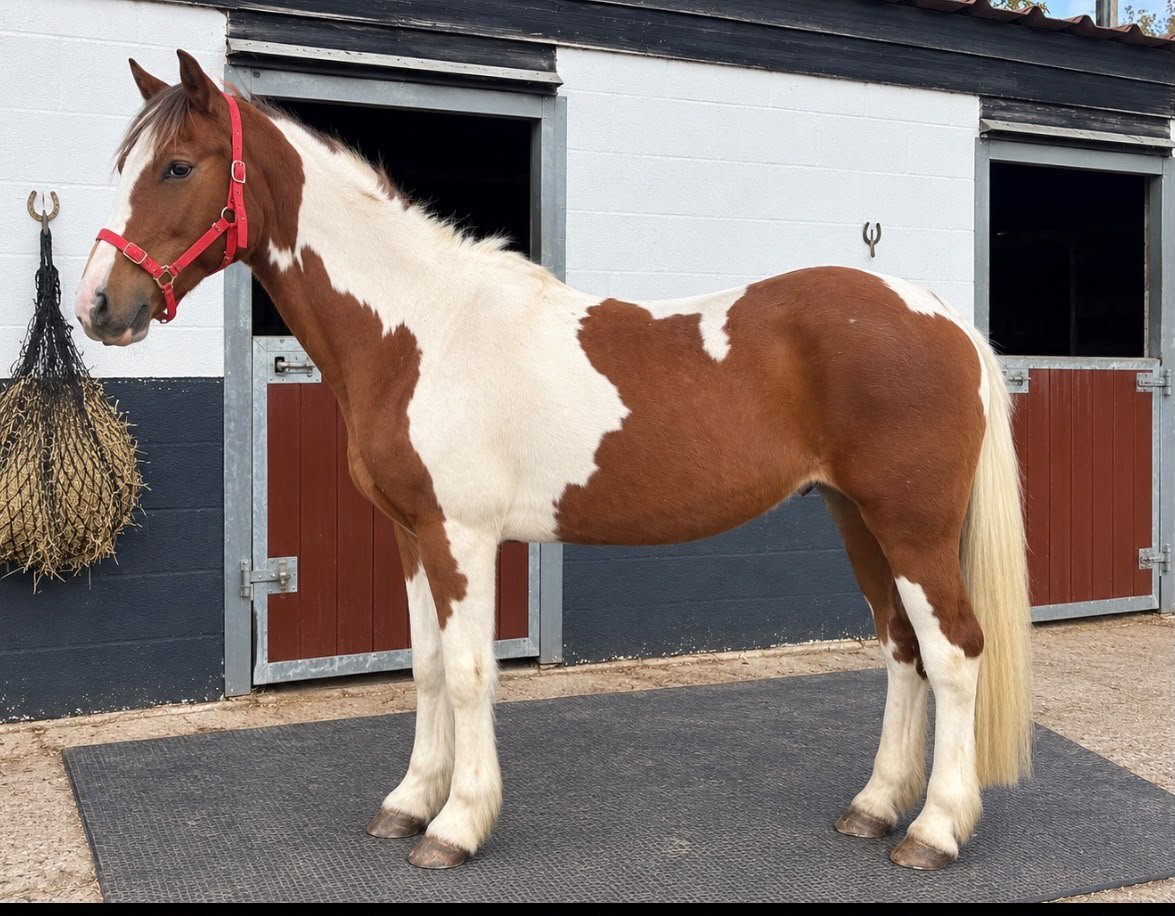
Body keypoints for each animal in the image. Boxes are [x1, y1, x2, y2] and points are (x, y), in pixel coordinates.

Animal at [76, 51, 1033, 873]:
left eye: (176, 168)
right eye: (123, 165)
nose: (98, 307)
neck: (420, 328)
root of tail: (939, 316)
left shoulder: (461, 536)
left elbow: (468, 673)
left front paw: (455, 826)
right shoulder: (412, 535)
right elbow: (426, 665)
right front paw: (408, 803)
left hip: (911, 527)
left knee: (953, 652)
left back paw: (933, 832)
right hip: (858, 519)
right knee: (902, 647)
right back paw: (875, 808)